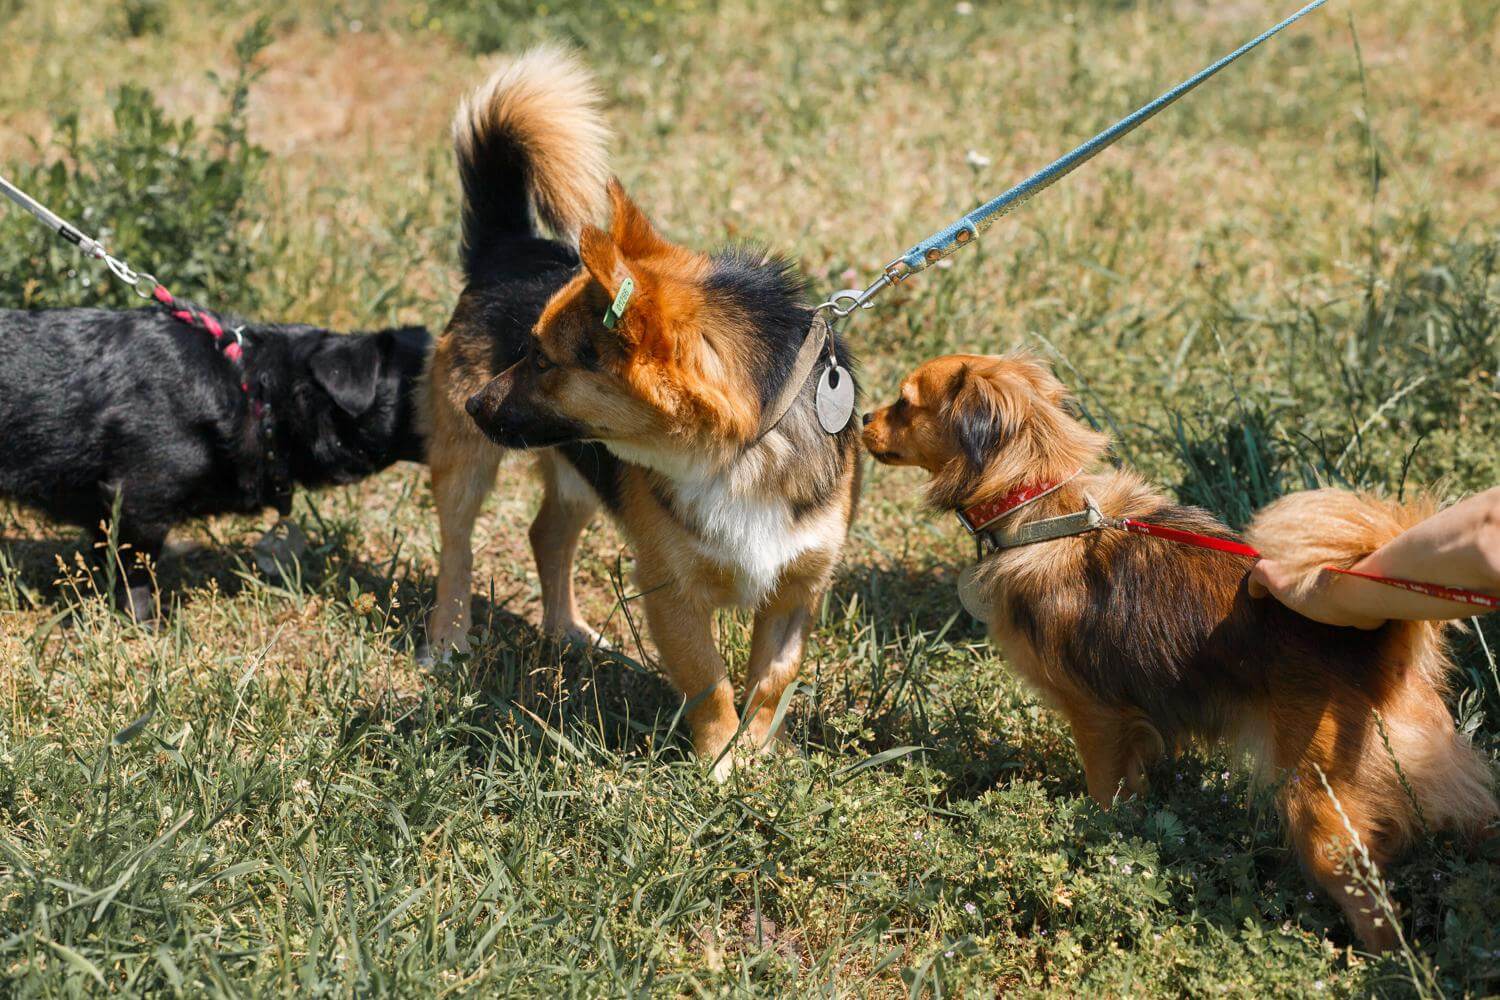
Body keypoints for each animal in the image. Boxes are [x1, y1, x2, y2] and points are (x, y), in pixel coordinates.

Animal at [423, 50, 864, 779]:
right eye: (526, 349)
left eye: (542, 359)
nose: (476, 402)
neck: (742, 452)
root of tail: (507, 245)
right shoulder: (670, 591)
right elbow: (710, 682)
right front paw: (717, 767)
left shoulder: (798, 587)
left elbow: (770, 681)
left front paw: (754, 757)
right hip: (466, 466)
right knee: (456, 549)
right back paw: (447, 640)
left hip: (578, 468)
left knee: (547, 535)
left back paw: (567, 632)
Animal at [864, 353, 1494, 953]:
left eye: (904, 403)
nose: (863, 417)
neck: (1041, 512)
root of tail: (1372, 640)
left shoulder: (1098, 718)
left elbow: (1106, 796)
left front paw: (1099, 841)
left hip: (1318, 804)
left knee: (1373, 903)